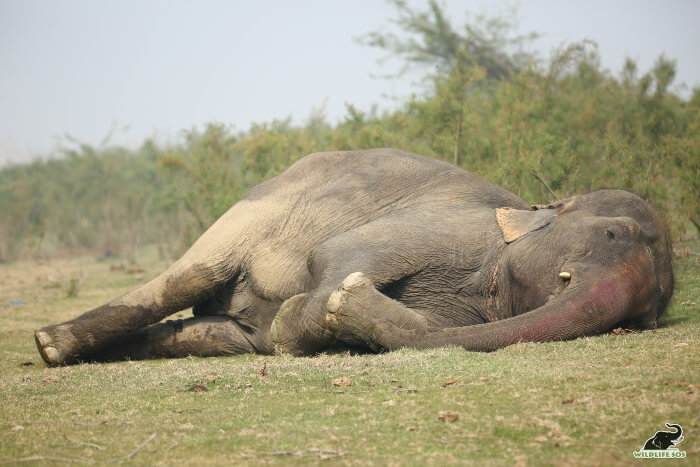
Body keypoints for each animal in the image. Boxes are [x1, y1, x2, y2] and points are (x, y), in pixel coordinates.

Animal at [35, 147, 676, 366]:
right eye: (613, 233)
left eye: (649, 314)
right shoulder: (446, 227)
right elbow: (337, 255)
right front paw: (328, 304)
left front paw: (335, 312)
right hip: (256, 208)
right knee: (189, 276)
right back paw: (49, 346)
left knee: (218, 336)